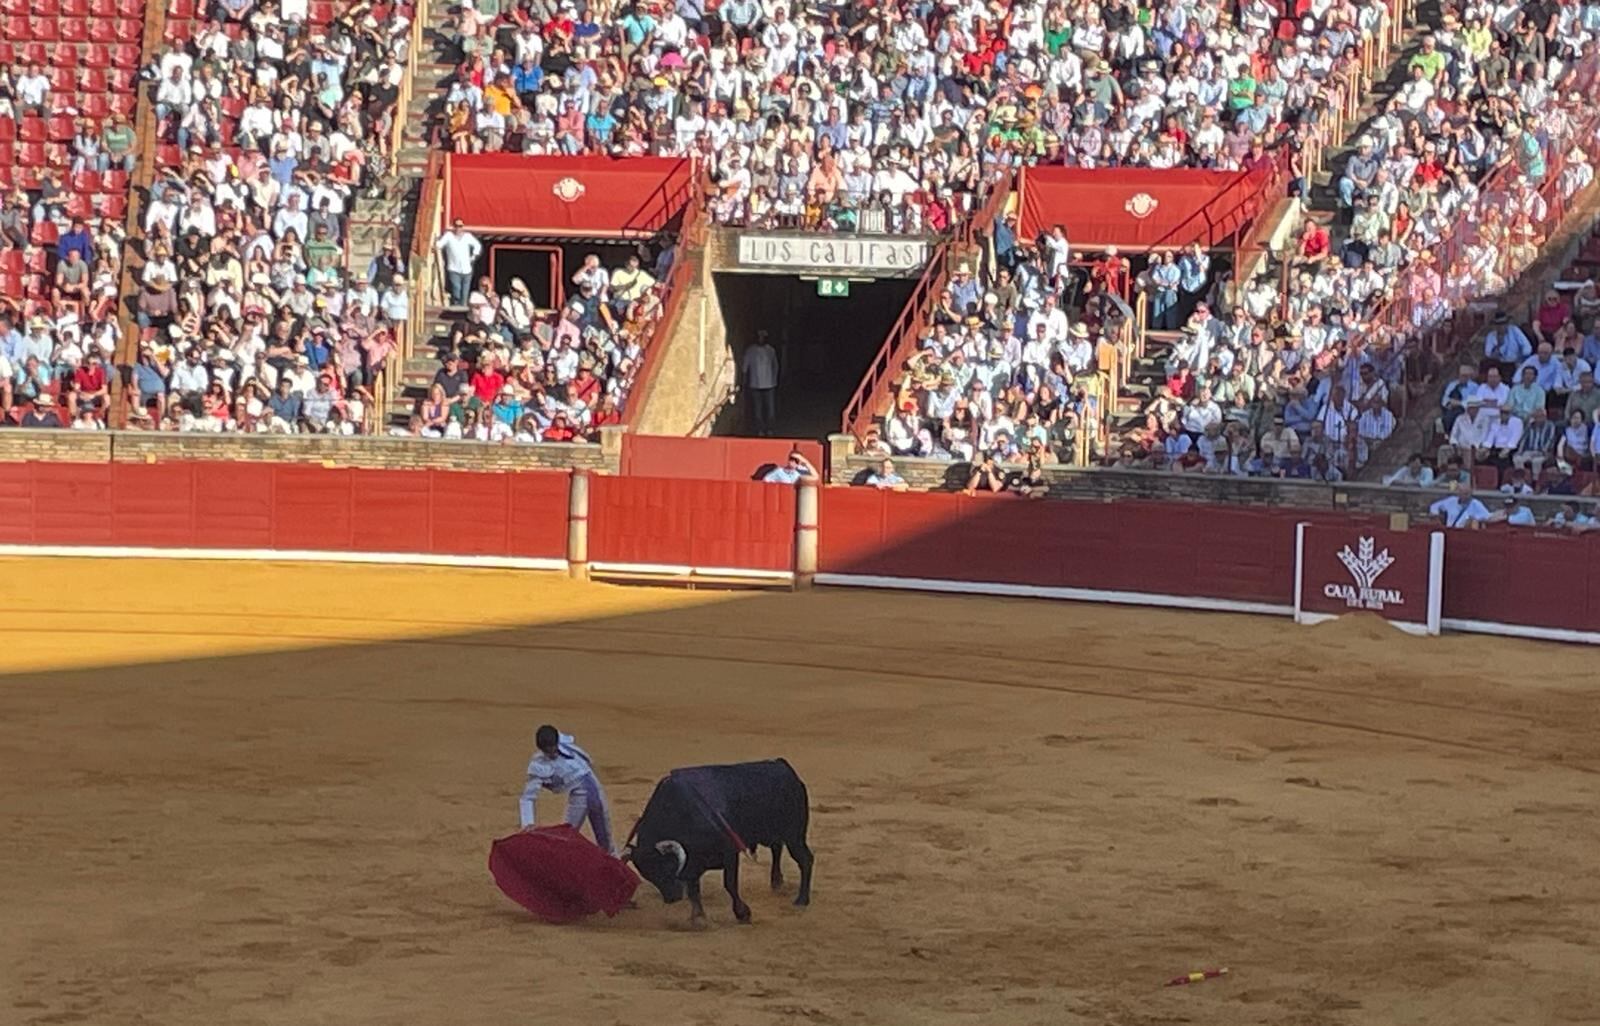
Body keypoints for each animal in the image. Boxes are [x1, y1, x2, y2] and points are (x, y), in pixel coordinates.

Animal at [620, 761, 812, 921]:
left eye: (666, 868)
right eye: (648, 875)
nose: (672, 899)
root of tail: (783, 766)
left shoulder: (729, 852)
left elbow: (730, 884)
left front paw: (743, 913)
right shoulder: (692, 863)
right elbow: (694, 890)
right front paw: (698, 918)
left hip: (794, 836)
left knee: (805, 859)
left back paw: (802, 900)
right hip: (774, 832)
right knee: (777, 848)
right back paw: (777, 881)